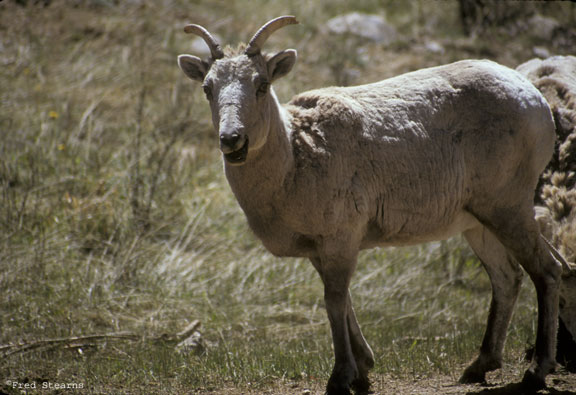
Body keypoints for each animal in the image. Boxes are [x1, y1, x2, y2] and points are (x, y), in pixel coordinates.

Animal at [177, 15, 564, 395]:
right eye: (207, 88)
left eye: (261, 84)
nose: (232, 140)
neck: (295, 159)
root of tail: (536, 101)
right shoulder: (321, 250)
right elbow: (344, 302)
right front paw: (363, 372)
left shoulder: (340, 239)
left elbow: (334, 302)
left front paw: (341, 378)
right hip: (479, 223)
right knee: (508, 278)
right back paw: (478, 367)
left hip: (507, 208)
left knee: (547, 271)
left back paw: (536, 372)